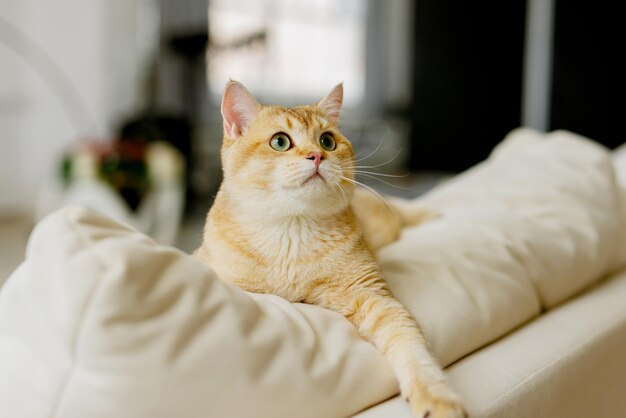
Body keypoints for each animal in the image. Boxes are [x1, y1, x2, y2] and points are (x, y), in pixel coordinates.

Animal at [194, 81, 464, 418]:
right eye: (280, 141)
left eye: (327, 141)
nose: (317, 155)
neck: (291, 233)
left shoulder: (372, 295)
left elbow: (410, 344)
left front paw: (437, 397)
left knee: (403, 210)